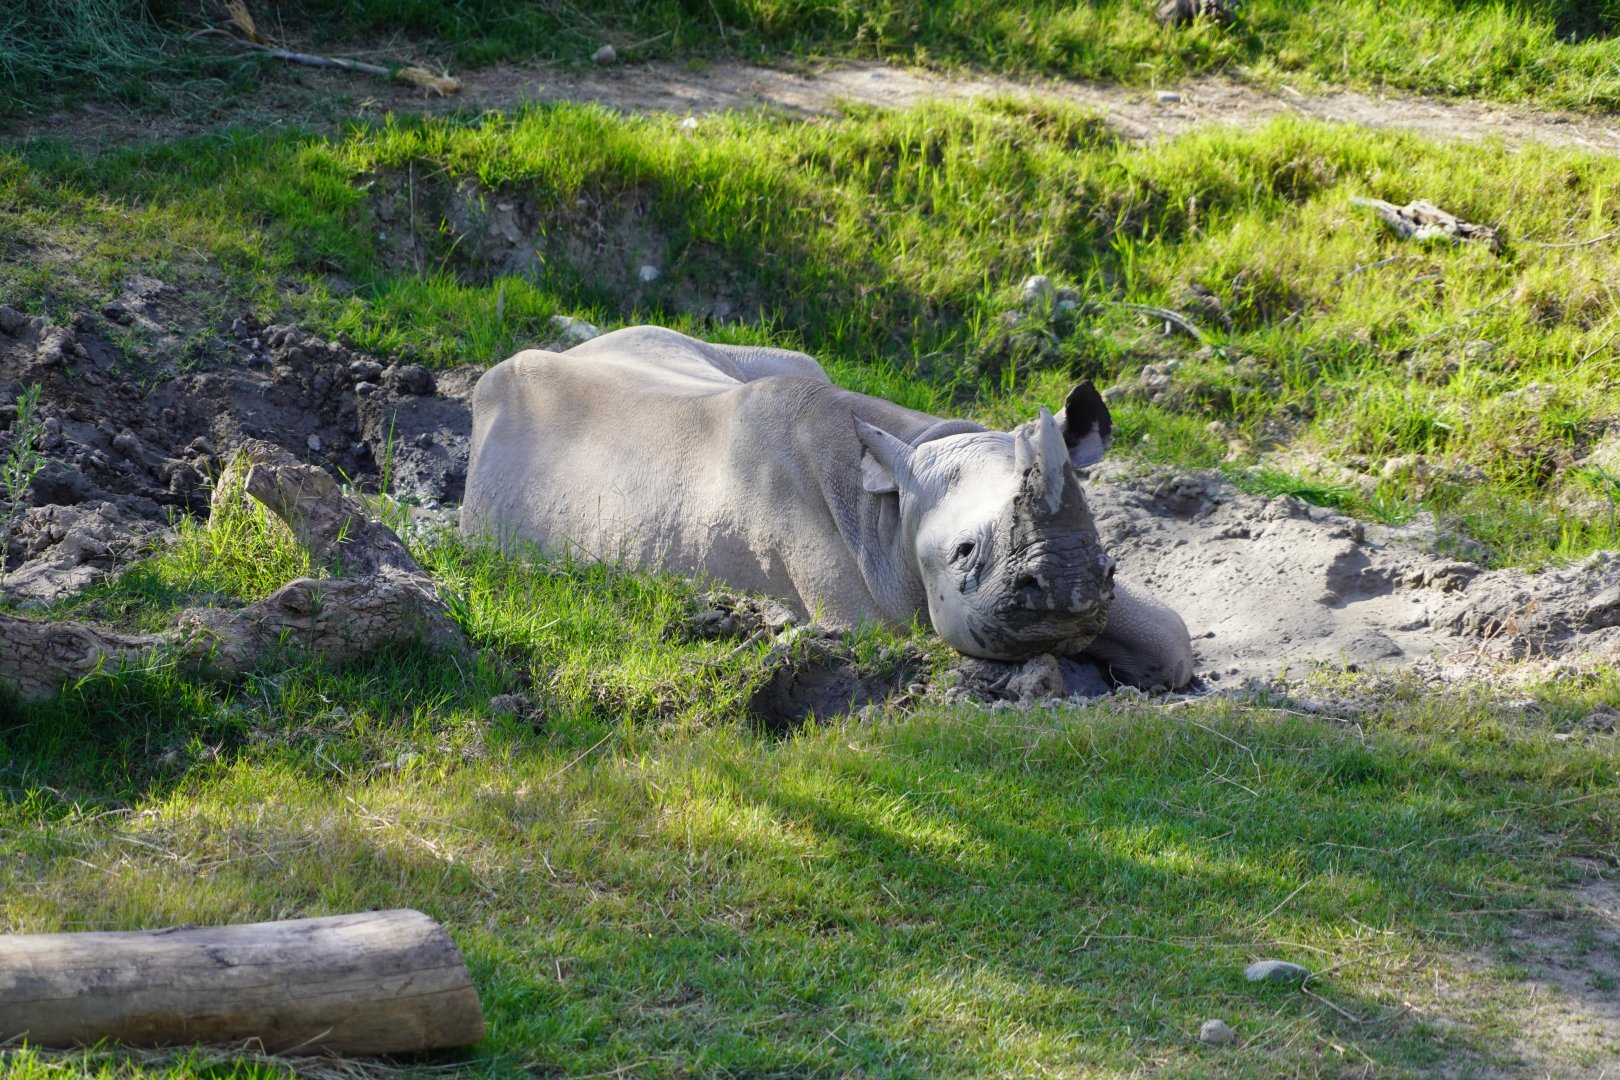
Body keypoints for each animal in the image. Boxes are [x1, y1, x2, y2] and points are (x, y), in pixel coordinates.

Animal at [461, 326, 1193, 689]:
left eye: (1106, 559)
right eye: (963, 553)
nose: (1069, 588)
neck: (893, 507)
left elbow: (1173, 634)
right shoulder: (857, 616)